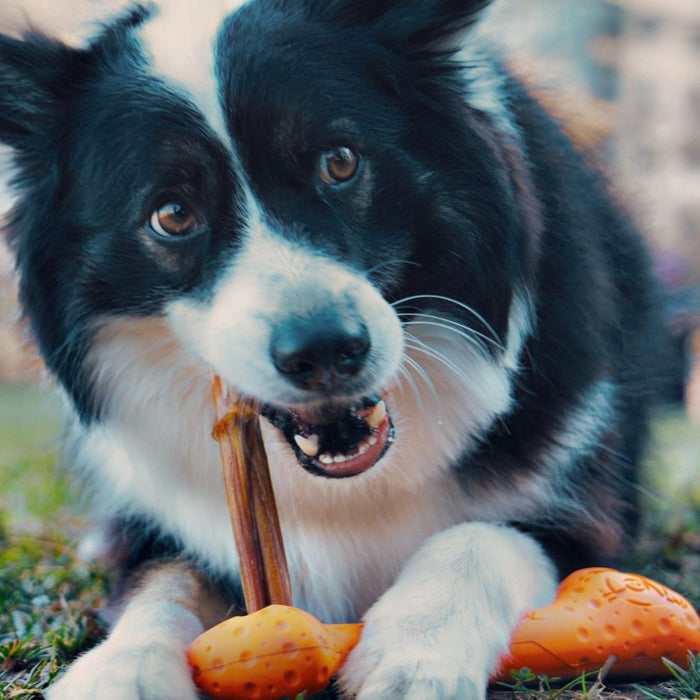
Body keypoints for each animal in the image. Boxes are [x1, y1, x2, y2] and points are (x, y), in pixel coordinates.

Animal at [0, 1, 668, 700]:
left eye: (339, 161)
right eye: (173, 214)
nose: (325, 351)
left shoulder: (583, 518)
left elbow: (476, 537)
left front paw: (415, 651)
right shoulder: (164, 525)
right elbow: (162, 583)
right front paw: (121, 669)